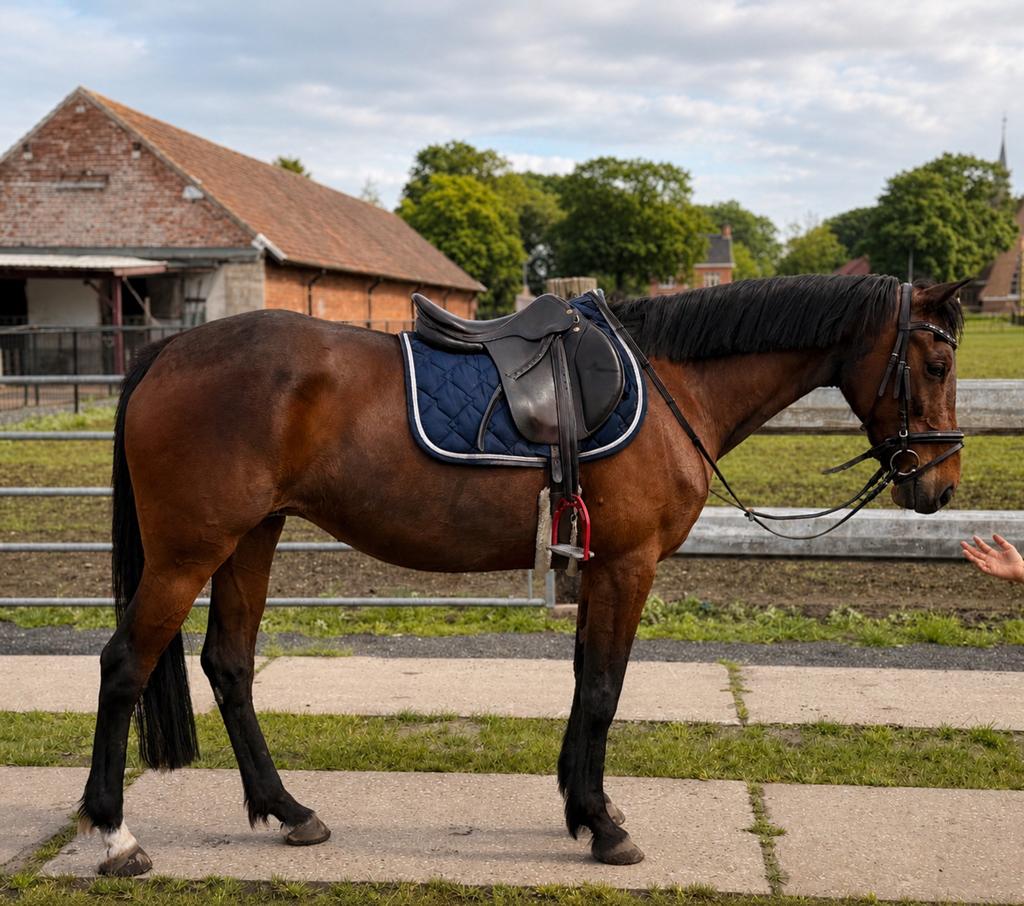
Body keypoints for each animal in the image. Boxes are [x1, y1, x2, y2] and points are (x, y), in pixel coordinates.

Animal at [77, 273, 965, 875]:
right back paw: (117, 836)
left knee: (229, 664)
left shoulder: (598, 566)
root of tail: (170, 349)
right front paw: (604, 828)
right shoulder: (628, 565)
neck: (673, 381)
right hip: (190, 550)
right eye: (934, 361)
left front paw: (582, 804)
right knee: (124, 664)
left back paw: (289, 810)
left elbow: (584, 683)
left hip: (251, 537)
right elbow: (604, 688)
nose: (940, 486)